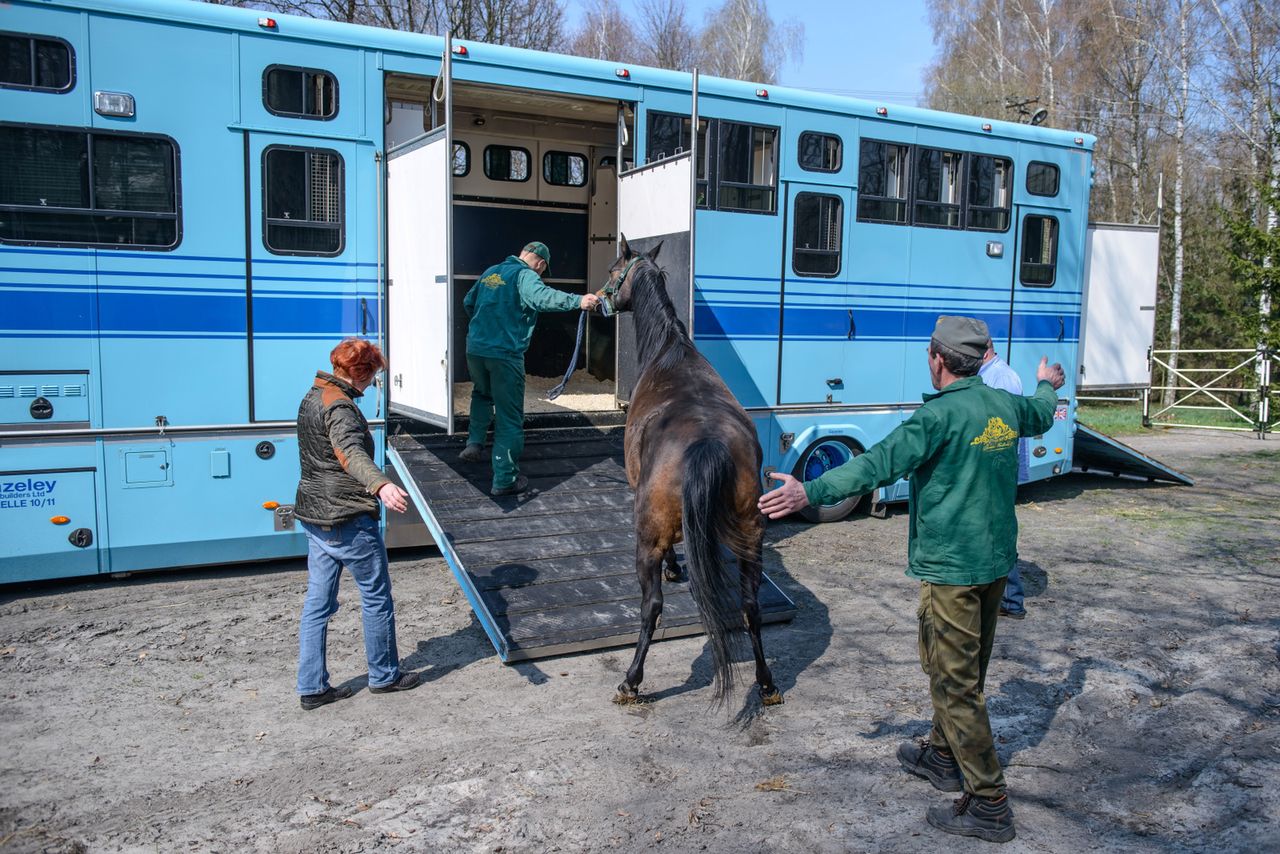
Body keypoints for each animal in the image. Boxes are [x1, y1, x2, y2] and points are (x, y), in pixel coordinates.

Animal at [604, 235, 783, 706]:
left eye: (613, 271)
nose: (602, 299)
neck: (669, 350)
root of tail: (708, 443)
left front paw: (674, 567)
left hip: (647, 538)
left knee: (651, 607)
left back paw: (631, 681)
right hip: (750, 535)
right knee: (750, 606)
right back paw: (766, 683)